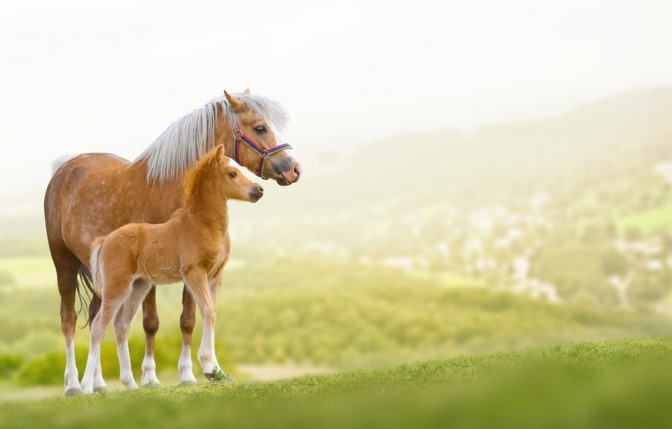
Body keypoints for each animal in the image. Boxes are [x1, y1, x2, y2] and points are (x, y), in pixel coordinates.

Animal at [80, 145, 262, 392]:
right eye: (232, 173)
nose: (259, 189)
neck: (202, 224)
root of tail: (105, 240)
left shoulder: (215, 276)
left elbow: (212, 312)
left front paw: (216, 370)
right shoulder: (195, 273)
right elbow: (208, 311)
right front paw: (208, 367)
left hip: (139, 286)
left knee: (121, 325)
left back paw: (131, 383)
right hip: (116, 286)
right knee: (99, 327)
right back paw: (87, 386)